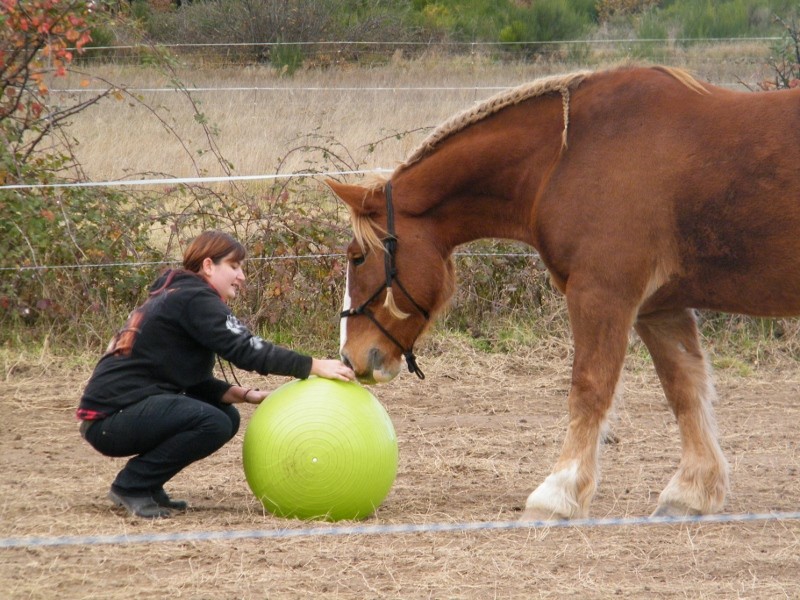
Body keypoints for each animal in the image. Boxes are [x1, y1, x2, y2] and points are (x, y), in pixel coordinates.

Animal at [324, 65, 800, 520]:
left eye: (357, 257)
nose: (350, 356)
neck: (565, 159)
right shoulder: (660, 308)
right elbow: (684, 389)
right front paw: (691, 492)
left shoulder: (601, 295)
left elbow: (589, 389)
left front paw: (558, 493)